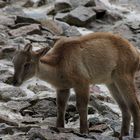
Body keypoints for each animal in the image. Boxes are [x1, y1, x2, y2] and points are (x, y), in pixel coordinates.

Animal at [12, 32, 140, 138]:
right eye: (13, 61)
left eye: (27, 63)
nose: (14, 81)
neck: (59, 65)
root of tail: (135, 53)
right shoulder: (62, 87)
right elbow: (61, 106)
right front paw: (59, 127)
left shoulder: (82, 82)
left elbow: (81, 106)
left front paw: (84, 131)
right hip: (111, 82)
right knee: (125, 108)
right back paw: (123, 135)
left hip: (124, 76)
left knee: (135, 105)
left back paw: (135, 135)